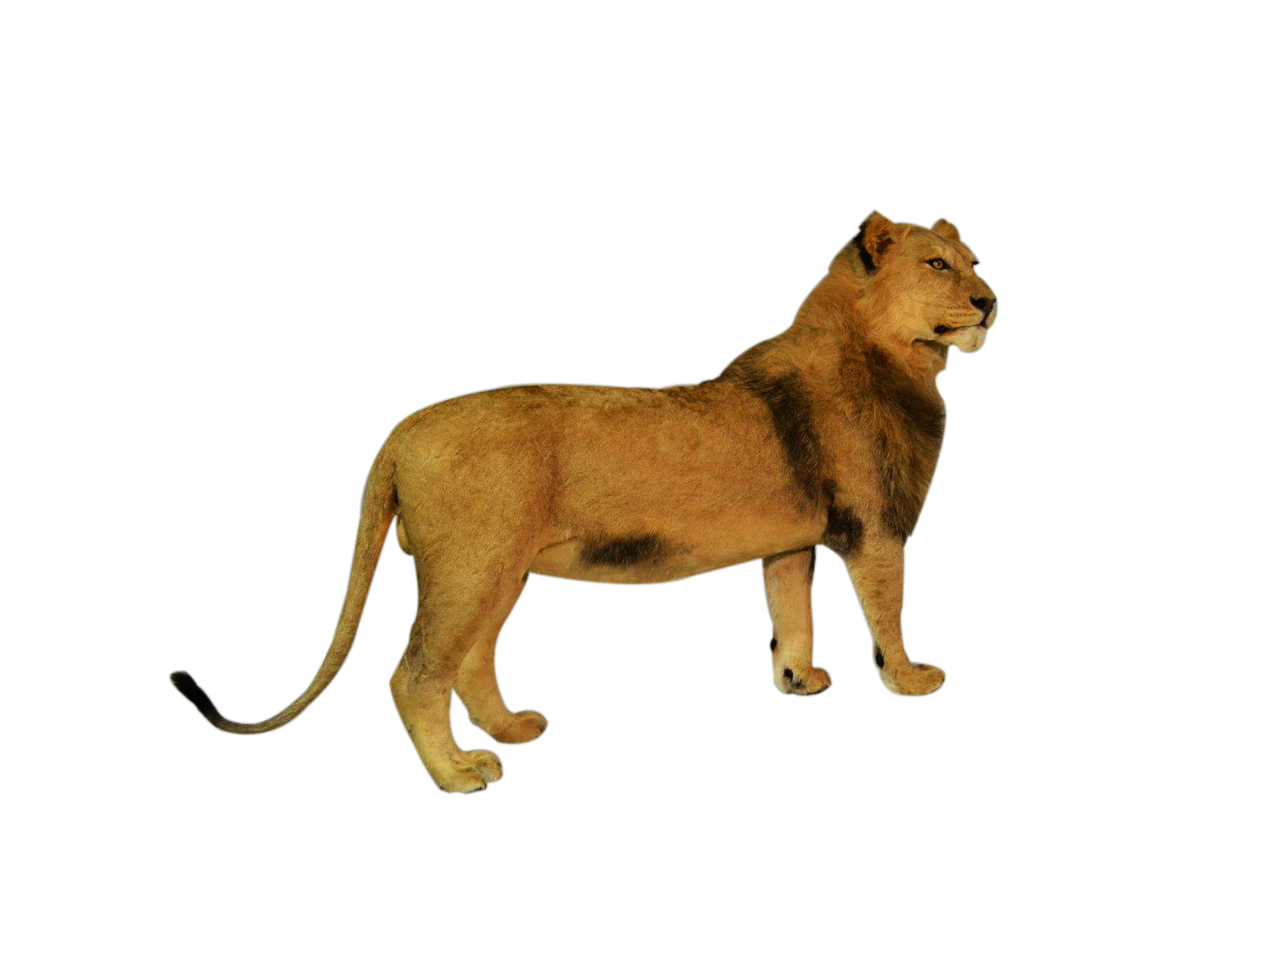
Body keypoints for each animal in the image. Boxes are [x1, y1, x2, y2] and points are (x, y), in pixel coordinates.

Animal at [168, 210, 999, 795]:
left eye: (975, 264)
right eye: (936, 264)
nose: (991, 301)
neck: (901, 360)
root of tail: (402, 430)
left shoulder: (791, 542)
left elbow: (792, 614)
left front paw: (799, 682)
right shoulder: (877, 533)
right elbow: (886, 616)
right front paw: (911, 680)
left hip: (500, 573)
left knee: (471, 662)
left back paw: (509, 730)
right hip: (469, 569)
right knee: (416, 675)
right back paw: (460, 774)